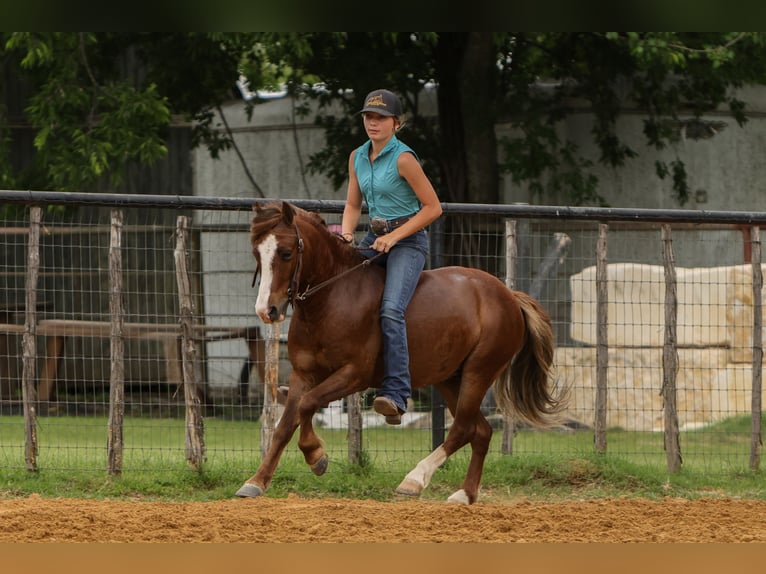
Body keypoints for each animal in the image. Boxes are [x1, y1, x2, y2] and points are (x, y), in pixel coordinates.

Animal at [236, 199, 566, 504]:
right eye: (257, 253)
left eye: (286, 253)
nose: (267, 310)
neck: (334, 297)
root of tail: (508, 294)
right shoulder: (304, 374)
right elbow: (284, 426)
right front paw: (255, 482)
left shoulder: (353, 375)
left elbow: (308, 404)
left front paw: (316, 456)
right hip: (449, 378)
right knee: (480, 431)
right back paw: (465, 494)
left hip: (479, 372)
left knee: (462, 428)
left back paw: (414, 479)